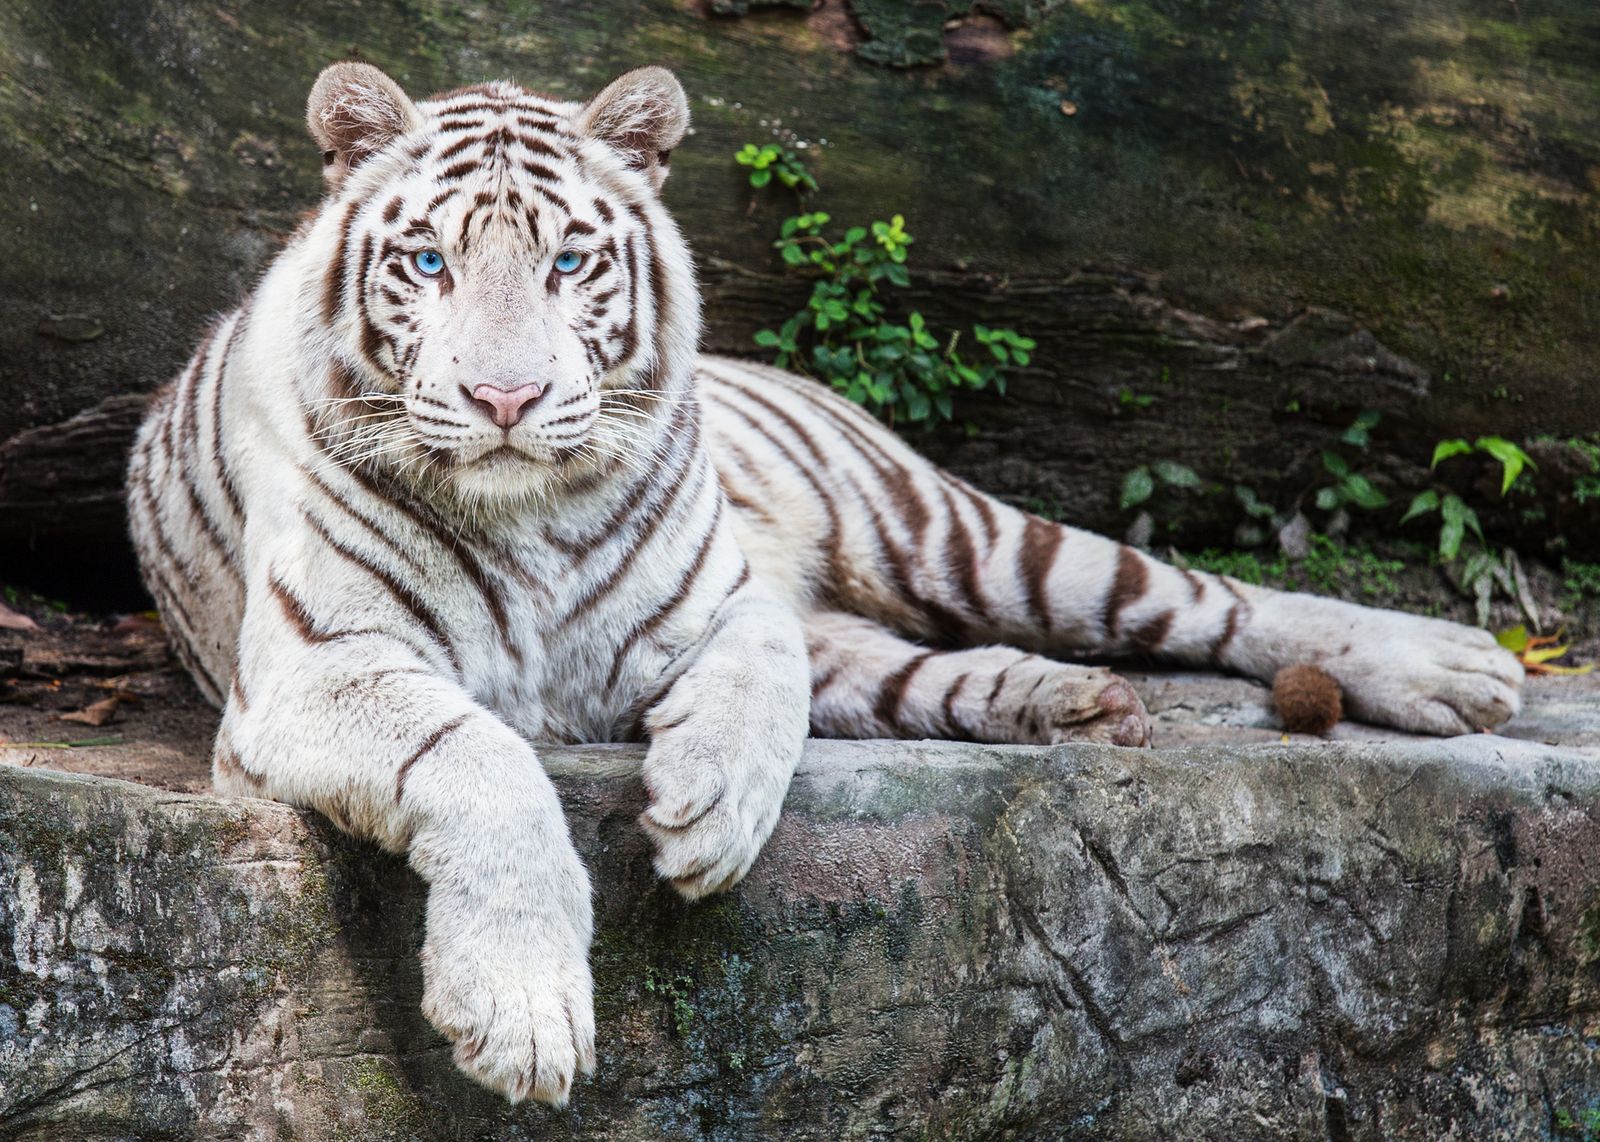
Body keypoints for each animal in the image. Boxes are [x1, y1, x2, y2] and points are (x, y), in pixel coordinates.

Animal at [124, 59, 1523, 1100]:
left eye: (569, 263)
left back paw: (1448, 665)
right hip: (899, 627)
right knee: (920, 672)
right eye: (428, 265)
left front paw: (709, 810)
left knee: (1206, 597)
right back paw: (1075, 706)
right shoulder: (314, 669)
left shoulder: (727, 598)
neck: (527, 512)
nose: (506, 399)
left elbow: (759, 676)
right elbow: (482, 757)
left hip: (958, 532)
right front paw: (520, 1010)